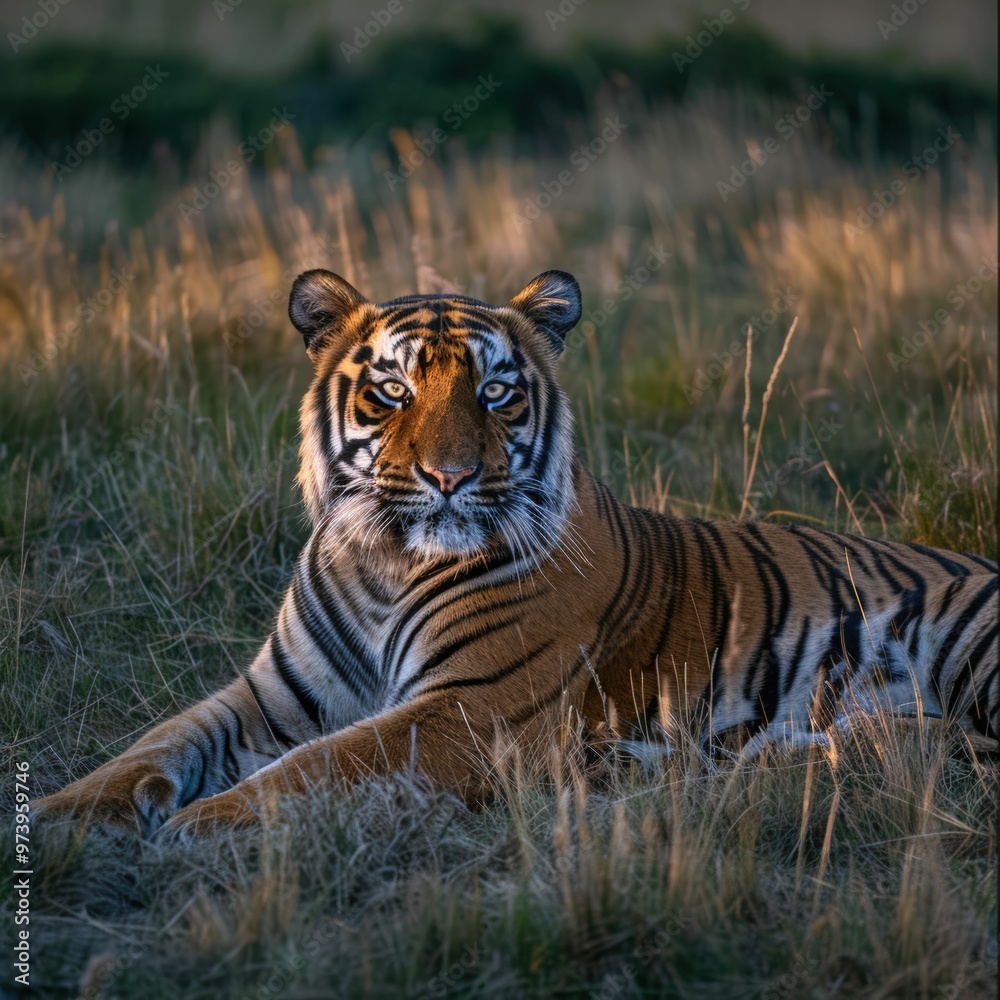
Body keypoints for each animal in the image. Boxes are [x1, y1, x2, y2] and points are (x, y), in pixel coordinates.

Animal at [33, 269, 999, 838]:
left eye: (497, 393)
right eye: (393, 390)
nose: (450, 476)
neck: (385, 564)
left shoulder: (469, 710)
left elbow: (317, 766)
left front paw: (201, 827)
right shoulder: (275, 692)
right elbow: (160, 740)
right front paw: (60, 817)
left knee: (947, 752)